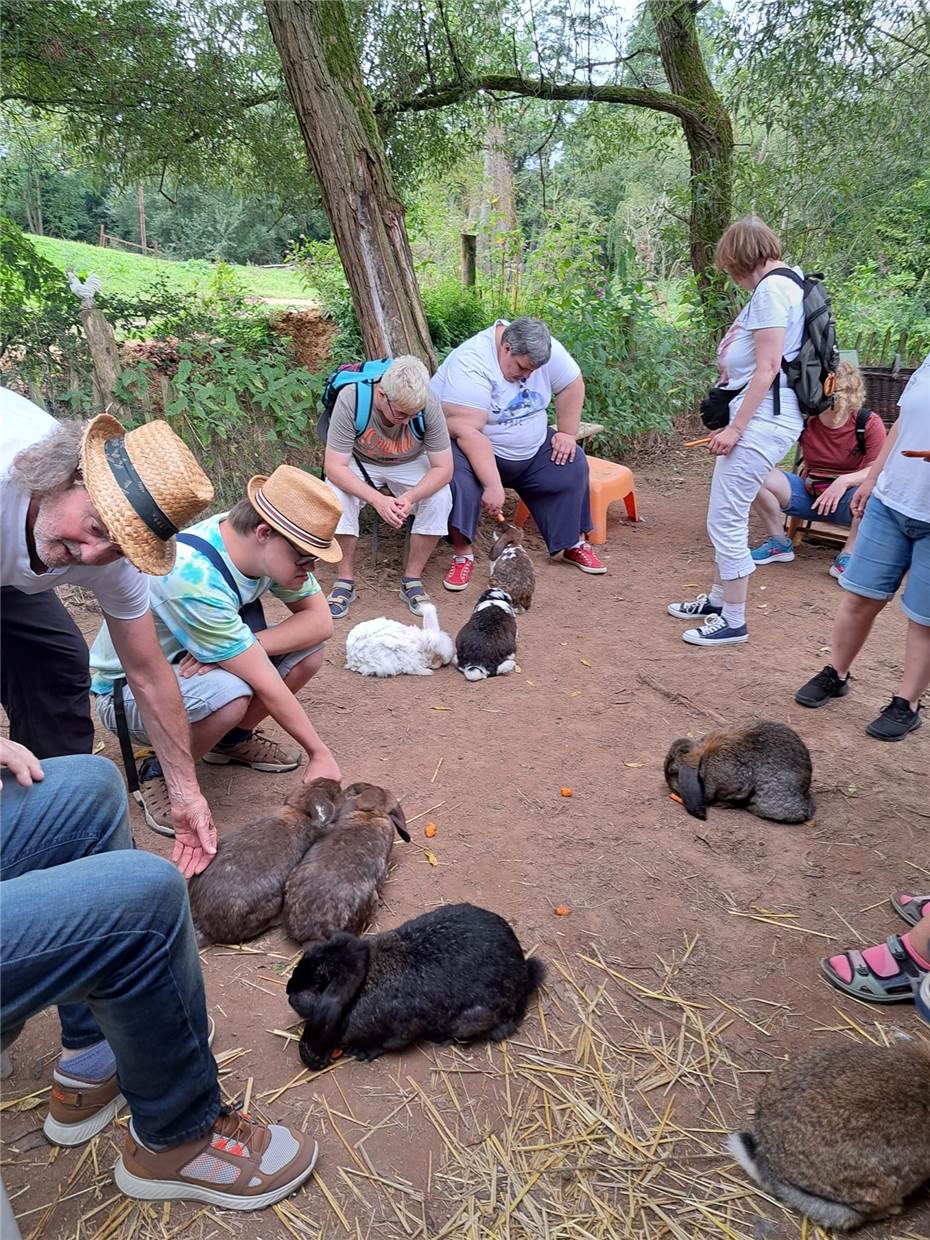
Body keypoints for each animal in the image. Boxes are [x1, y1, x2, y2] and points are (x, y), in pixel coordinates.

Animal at [286, 907, 545, 1071]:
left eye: (317, 984)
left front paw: (362, 1053)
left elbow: (385, 1044)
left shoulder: (400, 1031)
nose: (289, 993)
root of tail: (524, 978)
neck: (364, 983)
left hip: (473, 1019)